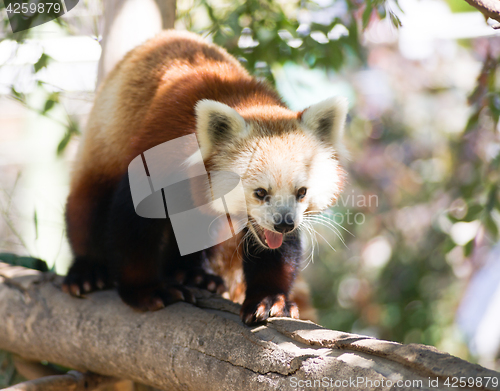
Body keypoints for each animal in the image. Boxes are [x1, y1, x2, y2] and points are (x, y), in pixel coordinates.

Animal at [63, 29, 348, 324]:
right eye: (260, 193)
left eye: (301, 192)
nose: (284, 224)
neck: (248, 100)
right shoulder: (157, 150)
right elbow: (132, 225)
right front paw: (146, 290)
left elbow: (275, 250)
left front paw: (269, 298)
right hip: (101, 149)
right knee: (87, 208)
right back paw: (88, 271)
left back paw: (194, 274)